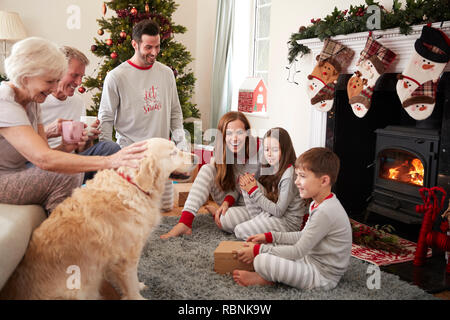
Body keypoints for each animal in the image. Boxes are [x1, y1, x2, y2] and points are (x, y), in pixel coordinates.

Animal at [0, 138, 197, 300]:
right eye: (173, 152)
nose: (196, 157)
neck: (132, 185)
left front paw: (138, 285)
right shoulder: (127, 256)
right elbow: (131, 284)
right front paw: (137, 295)